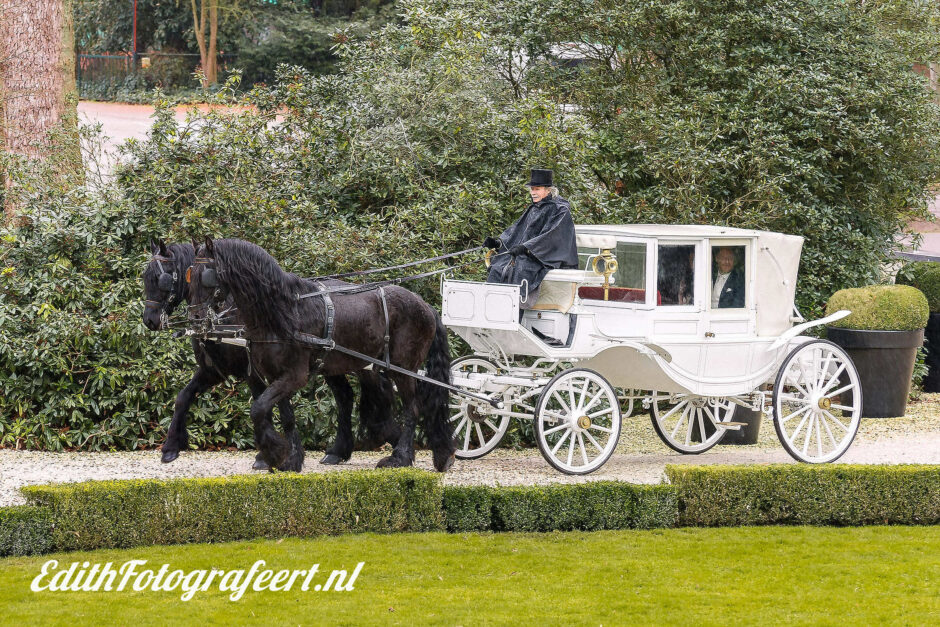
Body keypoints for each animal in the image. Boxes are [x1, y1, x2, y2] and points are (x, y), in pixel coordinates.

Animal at [141, 240, 398, 472]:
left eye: (162, 278)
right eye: (145, 277)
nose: (149, 320)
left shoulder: (255, 372)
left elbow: (266, 406)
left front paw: (269, 456)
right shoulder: (213, 371)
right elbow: (183, 397)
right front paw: (170, 448)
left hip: (360, 362)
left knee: (381, 390)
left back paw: (391, 439)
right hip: (332, 364)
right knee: (345, 397)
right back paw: (339, 451)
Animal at [187, 239, 456, 472]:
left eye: (207, 276)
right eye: (189, 276)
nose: (195, 321)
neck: (284, 312)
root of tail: (426, 306)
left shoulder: (294, 376)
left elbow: (258, 408)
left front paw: (273, 453)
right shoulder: (276, 376)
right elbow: (285, 416)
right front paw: (290, 459)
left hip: (403, 368)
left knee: (412, 408)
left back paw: (400, 457)